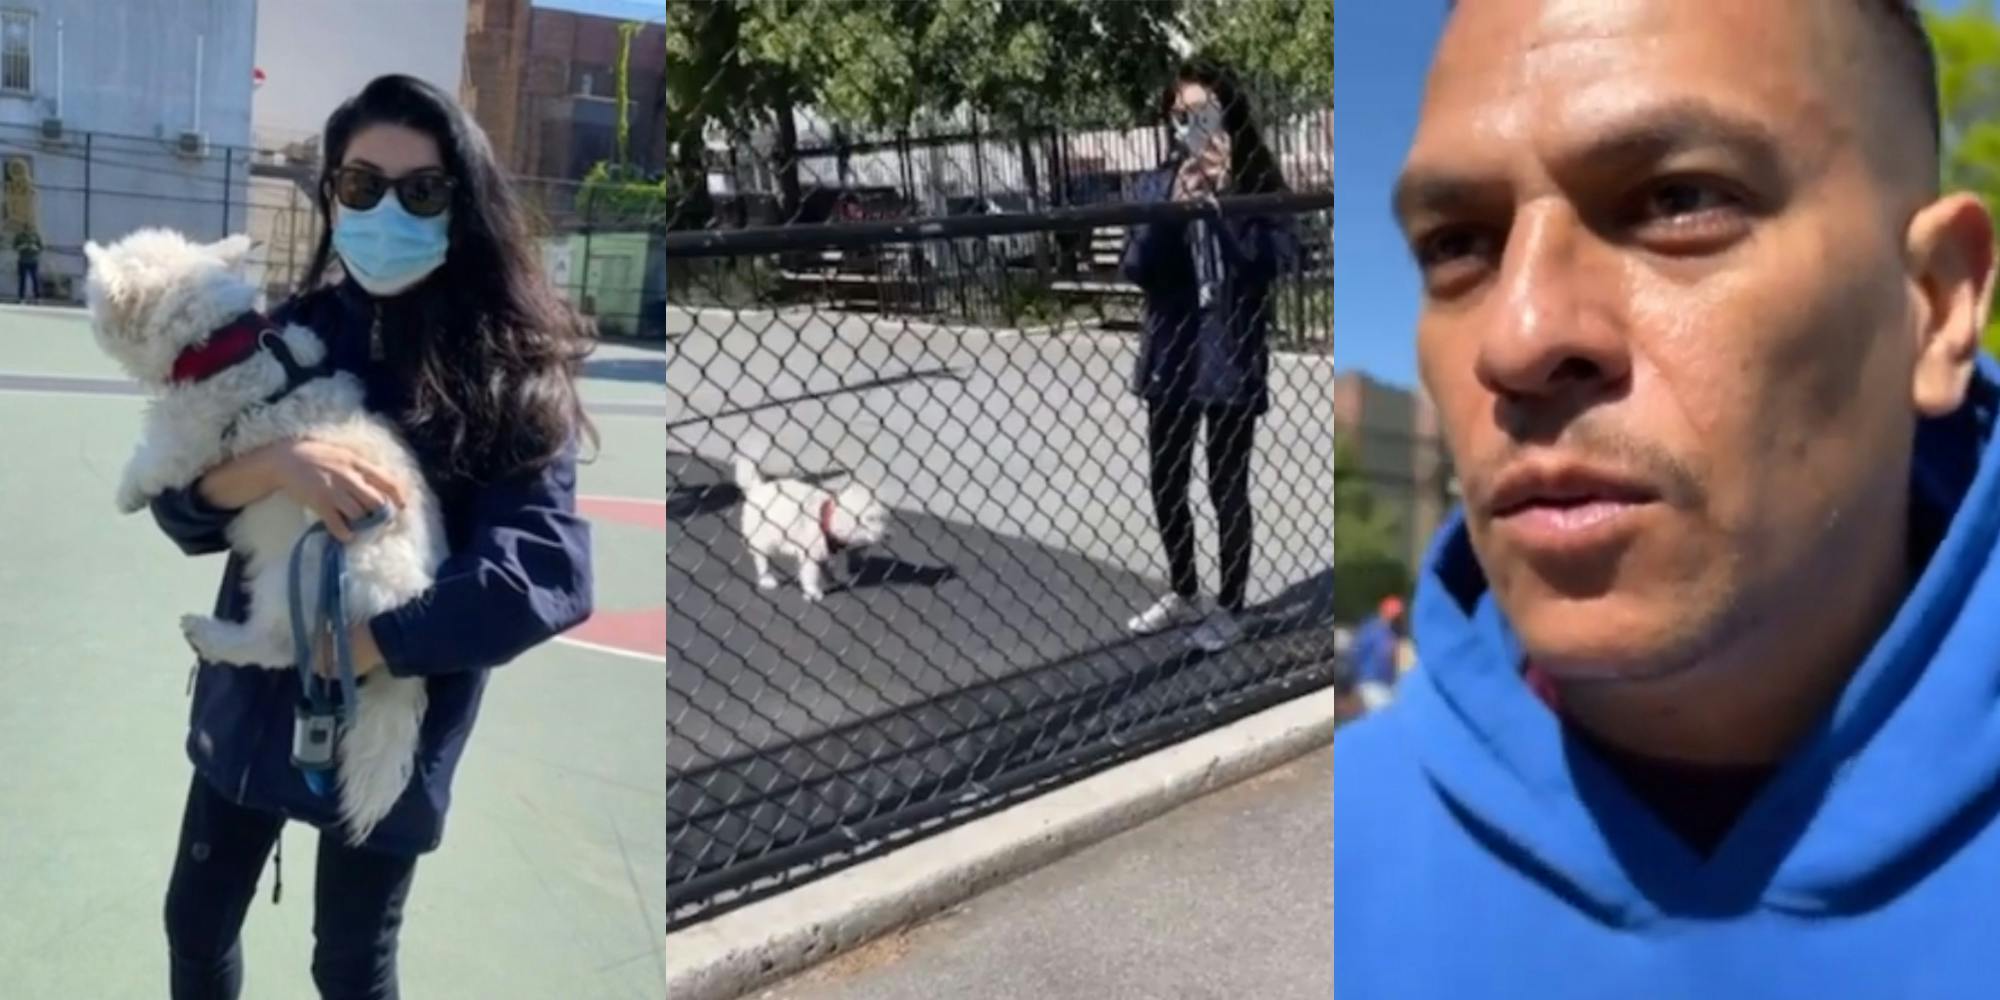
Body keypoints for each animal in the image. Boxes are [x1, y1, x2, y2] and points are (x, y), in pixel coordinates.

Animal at [87, 229, 446, 844]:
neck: (221, 343)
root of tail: (401, 601)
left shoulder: (186, 439)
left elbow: (153, 461)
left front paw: (126, 492)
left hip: (297, 576)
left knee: (276, 647)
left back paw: (211, 635)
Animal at [736, 456, 892, 600]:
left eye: (884, 518)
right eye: (871, 519)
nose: (888, 535)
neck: (828, 517)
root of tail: (757, 487)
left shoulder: (826, 551)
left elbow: (828, 567)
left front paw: (832, 580)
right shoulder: (810, 553)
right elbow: (810, 574)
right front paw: (813, 591)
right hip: (763, 537)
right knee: (762, 558)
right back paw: (766, 579)